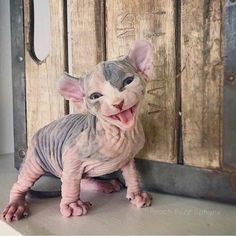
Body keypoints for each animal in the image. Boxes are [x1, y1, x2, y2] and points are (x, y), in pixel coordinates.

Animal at [2, 39, 153, 222]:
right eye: (95, 96)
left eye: (128, 81)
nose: (118, 103)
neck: (119, 134)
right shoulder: (72, 155)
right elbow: (71, 183)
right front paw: (72, 205)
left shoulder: (128, 157)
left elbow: (132, 174)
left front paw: (137, 194)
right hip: (35, 160)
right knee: (24, 183)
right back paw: (16, 205)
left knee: (76, 179)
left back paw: (104, 184)